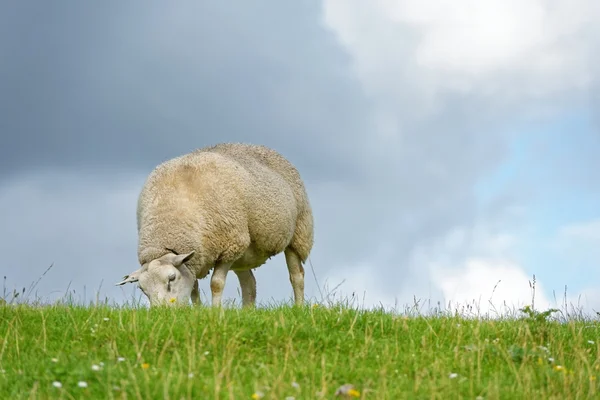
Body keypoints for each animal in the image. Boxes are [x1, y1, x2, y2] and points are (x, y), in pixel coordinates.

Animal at [114, 142, 316, 308]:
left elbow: (216, 283)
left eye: (171, 278)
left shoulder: (229, 246)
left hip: (298, 233)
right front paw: (197, 312)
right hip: (244, 252)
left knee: (297, 276)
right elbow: (194, 289)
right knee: (249, 283)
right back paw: (247, 312)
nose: (162, 313)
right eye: (142, 289)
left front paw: (215, 313)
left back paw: (298, 308)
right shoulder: (195, 259)